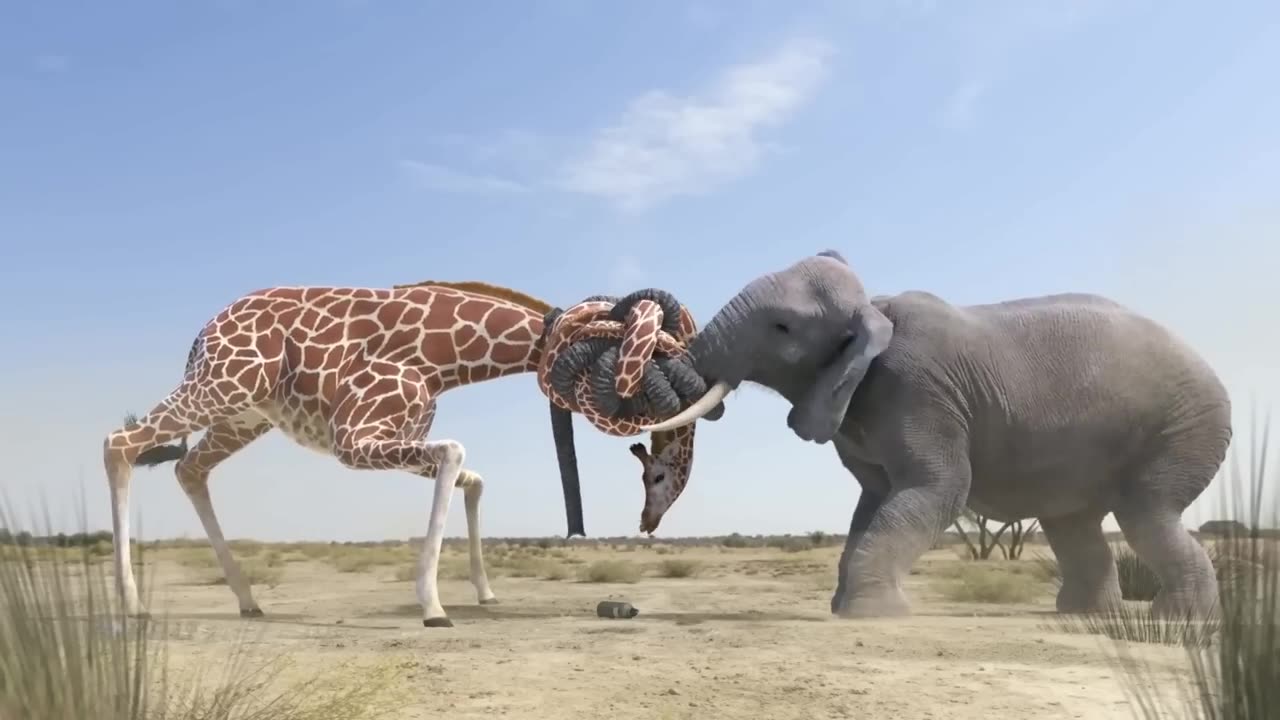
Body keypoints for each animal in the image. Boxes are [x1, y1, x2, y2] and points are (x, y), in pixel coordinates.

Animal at [102, 281, 699, 628]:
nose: (651, 518)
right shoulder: (353, 439)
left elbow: (471, 476)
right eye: (644, 353)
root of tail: (202, 336)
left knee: (188, 467)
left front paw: (483, 593)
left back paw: (248, 600)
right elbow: (457, 454)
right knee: (119, 444)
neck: (444, 356)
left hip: (244, 415)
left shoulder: (392, 435)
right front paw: (434, 608)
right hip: (222, 387)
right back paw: (132, 603)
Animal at [642, 250, 1232, 620]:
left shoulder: (919, 391)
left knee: (1145, 512)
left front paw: (872, 615)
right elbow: (873, 501)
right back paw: (1086, 613)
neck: (874, 312)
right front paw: (847, 608)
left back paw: (1177, 619)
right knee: (1073, 523)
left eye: (783, 328)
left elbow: (937, 490)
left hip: (1185, 427)